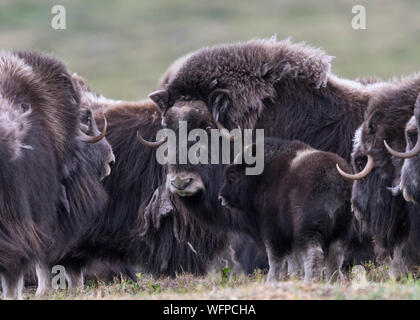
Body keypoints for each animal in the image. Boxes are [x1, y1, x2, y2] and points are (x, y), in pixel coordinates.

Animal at [218, 139, 352, 282]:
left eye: (232, 176)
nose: (221, 197)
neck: (262, 177)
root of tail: (335, 182)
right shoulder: (290, 236)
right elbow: (293, 261)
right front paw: (293, 277)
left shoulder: (273, 230)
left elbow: (275, 259)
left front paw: (271, 281)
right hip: (340, 229)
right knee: (335, 256)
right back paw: (333, 281)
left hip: (308, 228)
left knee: (314, 254)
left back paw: (309, 281)